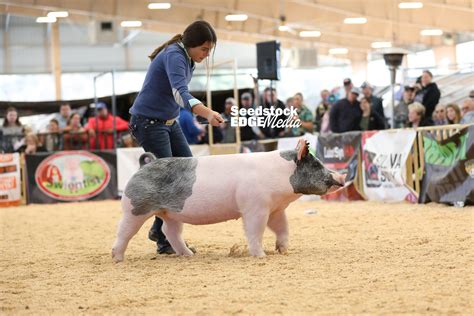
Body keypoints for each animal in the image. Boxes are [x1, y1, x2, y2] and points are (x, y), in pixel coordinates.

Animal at [111, 139, 344, 262]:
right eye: (316, 165)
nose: (340, 178)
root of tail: (143, 166)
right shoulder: (254, 206)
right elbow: (255, 231)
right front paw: (261, 256)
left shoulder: (275, 209)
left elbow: (282, 228)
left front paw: (283, 250)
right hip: (135, 207)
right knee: (124, 231)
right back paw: (117, 258)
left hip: (171, 213)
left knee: (171, 232)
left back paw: (189, 254)